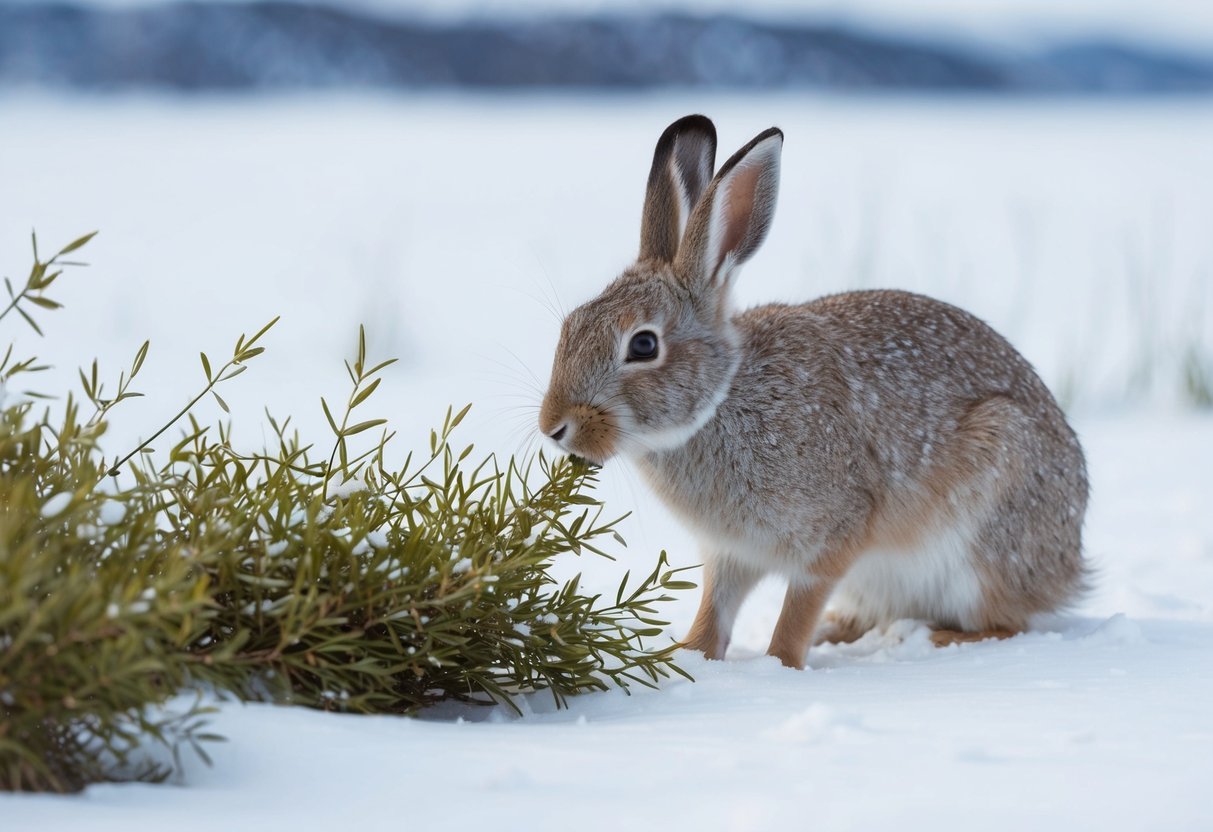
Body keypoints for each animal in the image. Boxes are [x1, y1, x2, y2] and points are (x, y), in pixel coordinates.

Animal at [539, 114, 1089, 669]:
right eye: (571, 325)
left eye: (644, 344)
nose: (553, 427)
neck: (721, 401)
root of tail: (1069, 565)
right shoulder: (730, 554)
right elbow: (714, 610)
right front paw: (689, 657)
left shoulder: (834, 533)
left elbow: (798, 608)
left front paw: (778, 665)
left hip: (987, 529)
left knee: (1007, 622)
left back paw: (928, 639)